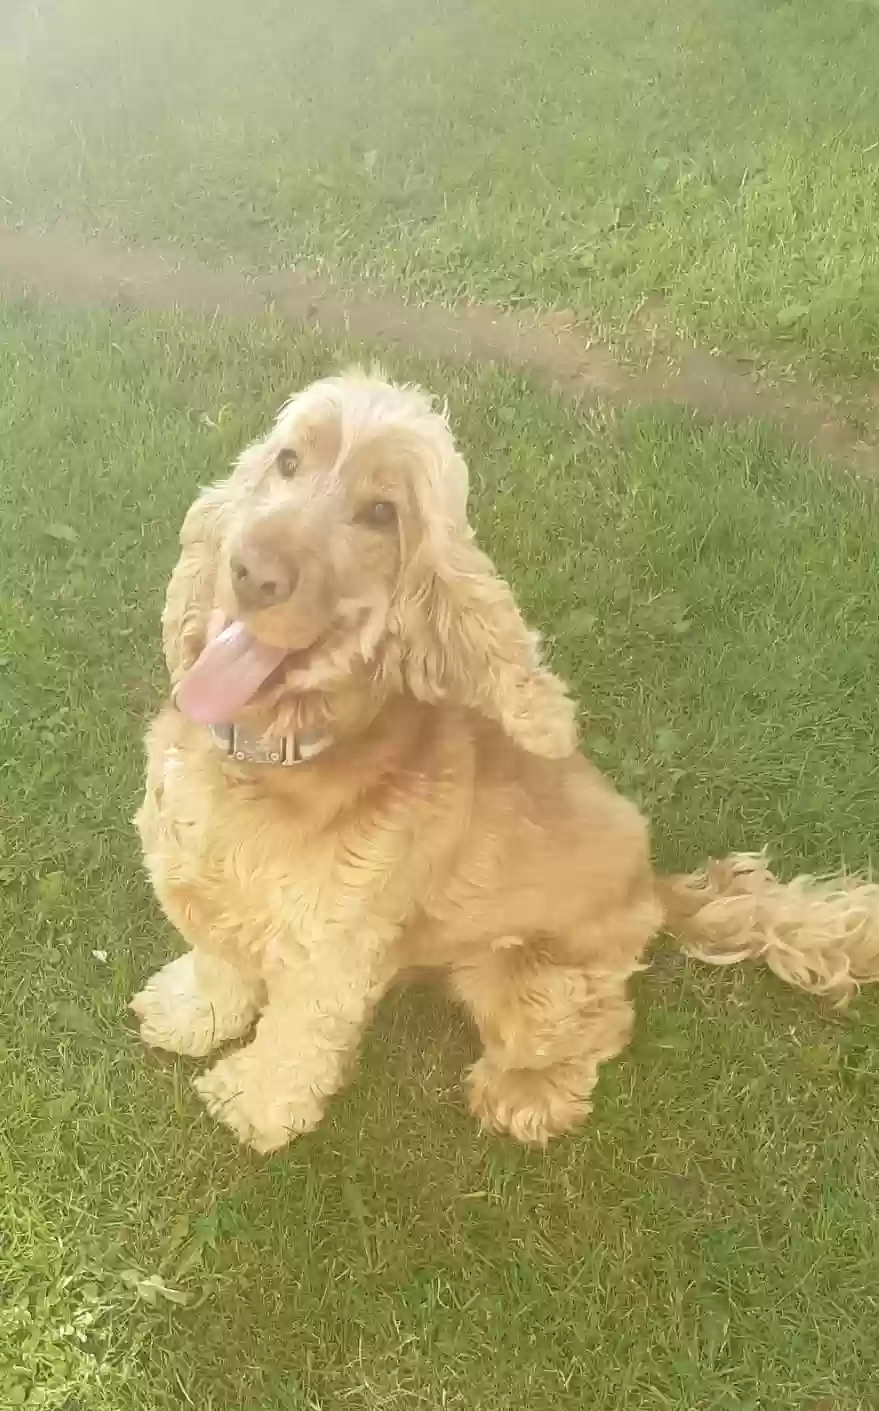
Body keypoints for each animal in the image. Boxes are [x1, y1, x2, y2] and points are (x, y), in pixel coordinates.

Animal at [130, 369, 879, 1151]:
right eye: (287, 460)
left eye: (381, 513)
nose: (252, 572)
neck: (269, 756)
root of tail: (655, 885)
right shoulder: (202, 890)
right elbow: (218, 964)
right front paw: (189, 1013)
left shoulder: (328, 957)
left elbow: (295, 1041)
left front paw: (252, 1103)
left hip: (528, 978)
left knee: (601, 1024)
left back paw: (525, 1094)